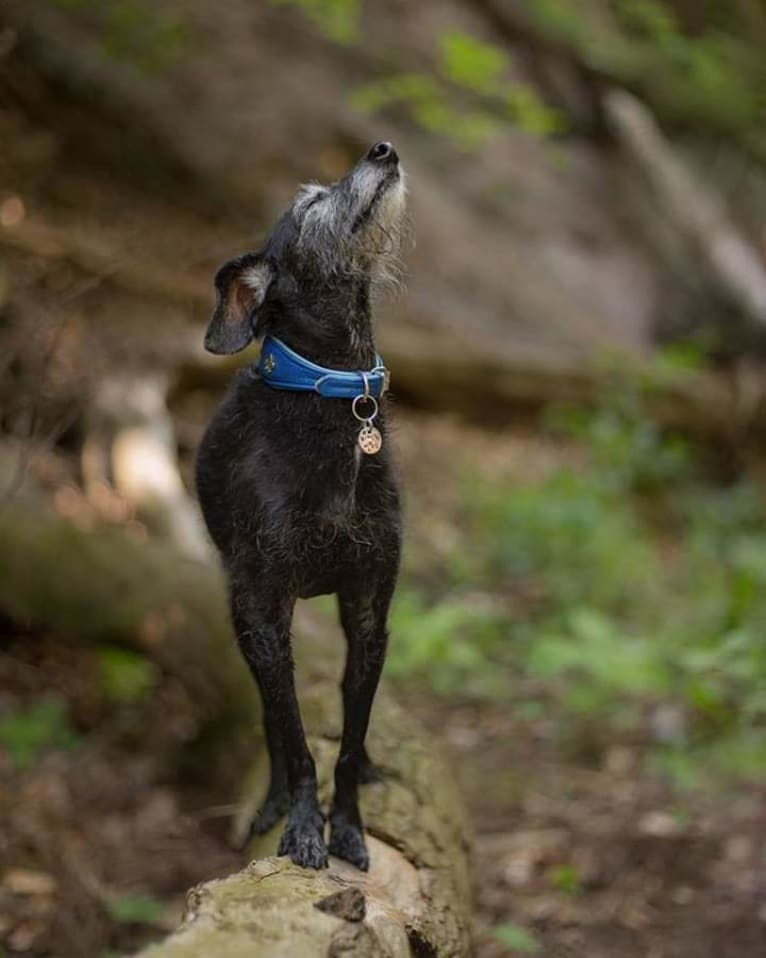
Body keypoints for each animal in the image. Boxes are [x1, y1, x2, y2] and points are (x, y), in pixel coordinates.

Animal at [196, 141, 408, 872]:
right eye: (310, 204)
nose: (383, 147)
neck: (332, 396)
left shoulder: (370, 610)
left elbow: (346, 741)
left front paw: (348, 826)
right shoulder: (265, 615)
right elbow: (292, 744)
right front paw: (303, 829)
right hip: (238, 615)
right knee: (268, 720)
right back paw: (268, 804)